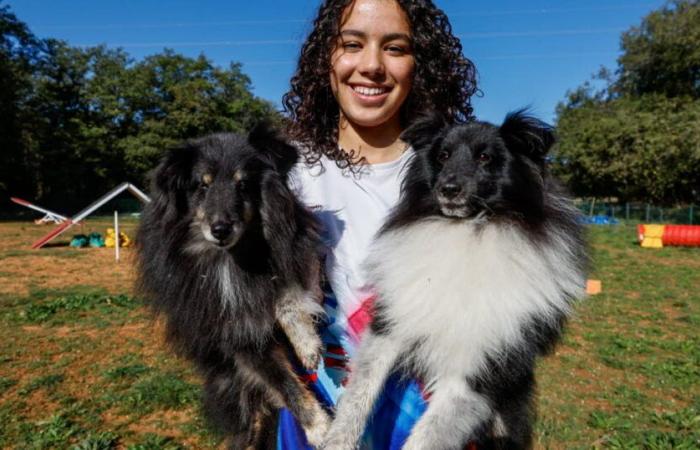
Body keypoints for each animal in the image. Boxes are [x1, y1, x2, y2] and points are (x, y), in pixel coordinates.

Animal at [138, 125, 330, 448]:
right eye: (201, 187)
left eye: (243, 185)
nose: (220, 230)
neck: (232, 258)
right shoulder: (238, 338)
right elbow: (285, 384)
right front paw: (322, 429)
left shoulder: (295, 251)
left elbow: (287, 295)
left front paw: (307, 344)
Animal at [326, 111, 588, 450]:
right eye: (443, 155)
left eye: (485, 157)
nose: (448, 189)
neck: (469, 229)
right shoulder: (390, 327)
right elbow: (359, 394)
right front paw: (335, 442)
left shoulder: (478, 372)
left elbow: (426, 437)